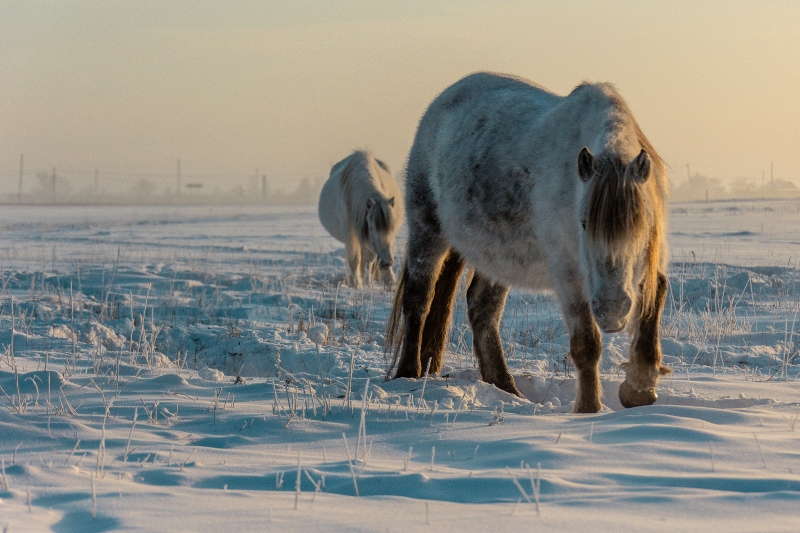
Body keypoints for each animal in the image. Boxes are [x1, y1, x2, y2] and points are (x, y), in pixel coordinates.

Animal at [318, 151, 406, 286]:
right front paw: (357, 285)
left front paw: (370, 282)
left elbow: (368, 260)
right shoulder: (351, 234)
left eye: (392, 228)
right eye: (372, 227)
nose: (387, 262)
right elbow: (355, 259)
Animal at [388, 71, 668, 412]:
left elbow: (654, 303)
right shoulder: (568, 275)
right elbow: (586, 344)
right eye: (583, 223)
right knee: (419, 299)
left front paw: (639, 389)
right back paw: (408, 375)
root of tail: (443, 101)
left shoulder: (646, 265)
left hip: (497, 257)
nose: (612, 311)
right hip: (427, 231)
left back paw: (506, 388)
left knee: (483, 309)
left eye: (641, 226)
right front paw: (589, 410)